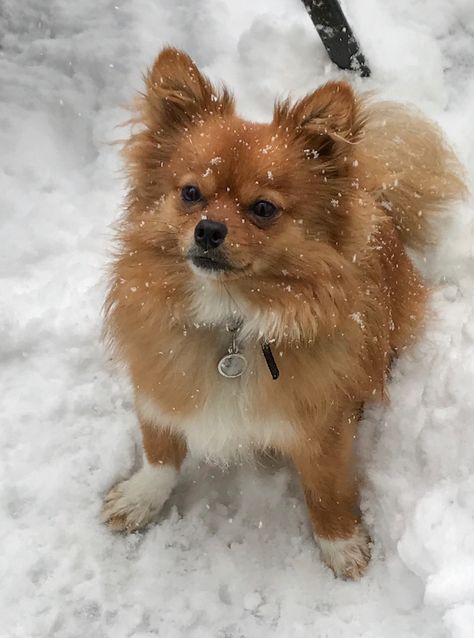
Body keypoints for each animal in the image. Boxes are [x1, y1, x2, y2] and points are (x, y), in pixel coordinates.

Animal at [102, 48, 464, 580]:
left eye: (263, 208)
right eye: (190, 193)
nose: (208, 230)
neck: (232, 319)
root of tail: (375, 196)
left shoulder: (323, 424)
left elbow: (326, 487)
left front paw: (340, 543)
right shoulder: (160, 386)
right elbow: (160, 451)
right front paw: (142, 497)